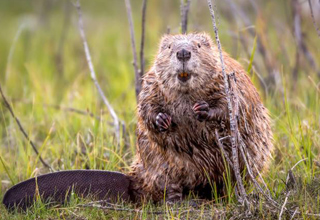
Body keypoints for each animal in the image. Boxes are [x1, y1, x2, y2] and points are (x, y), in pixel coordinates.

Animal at [127, 32, 272, 203]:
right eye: (169, 47)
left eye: (198, 45)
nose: (183, 53)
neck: (186, 94)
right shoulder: (152, 82)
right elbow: (146, 106)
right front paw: (161, 119)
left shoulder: (226, 79)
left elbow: (231, 105)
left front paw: (202, 109)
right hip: (158, 165)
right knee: (167, 182)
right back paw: (173, 199)